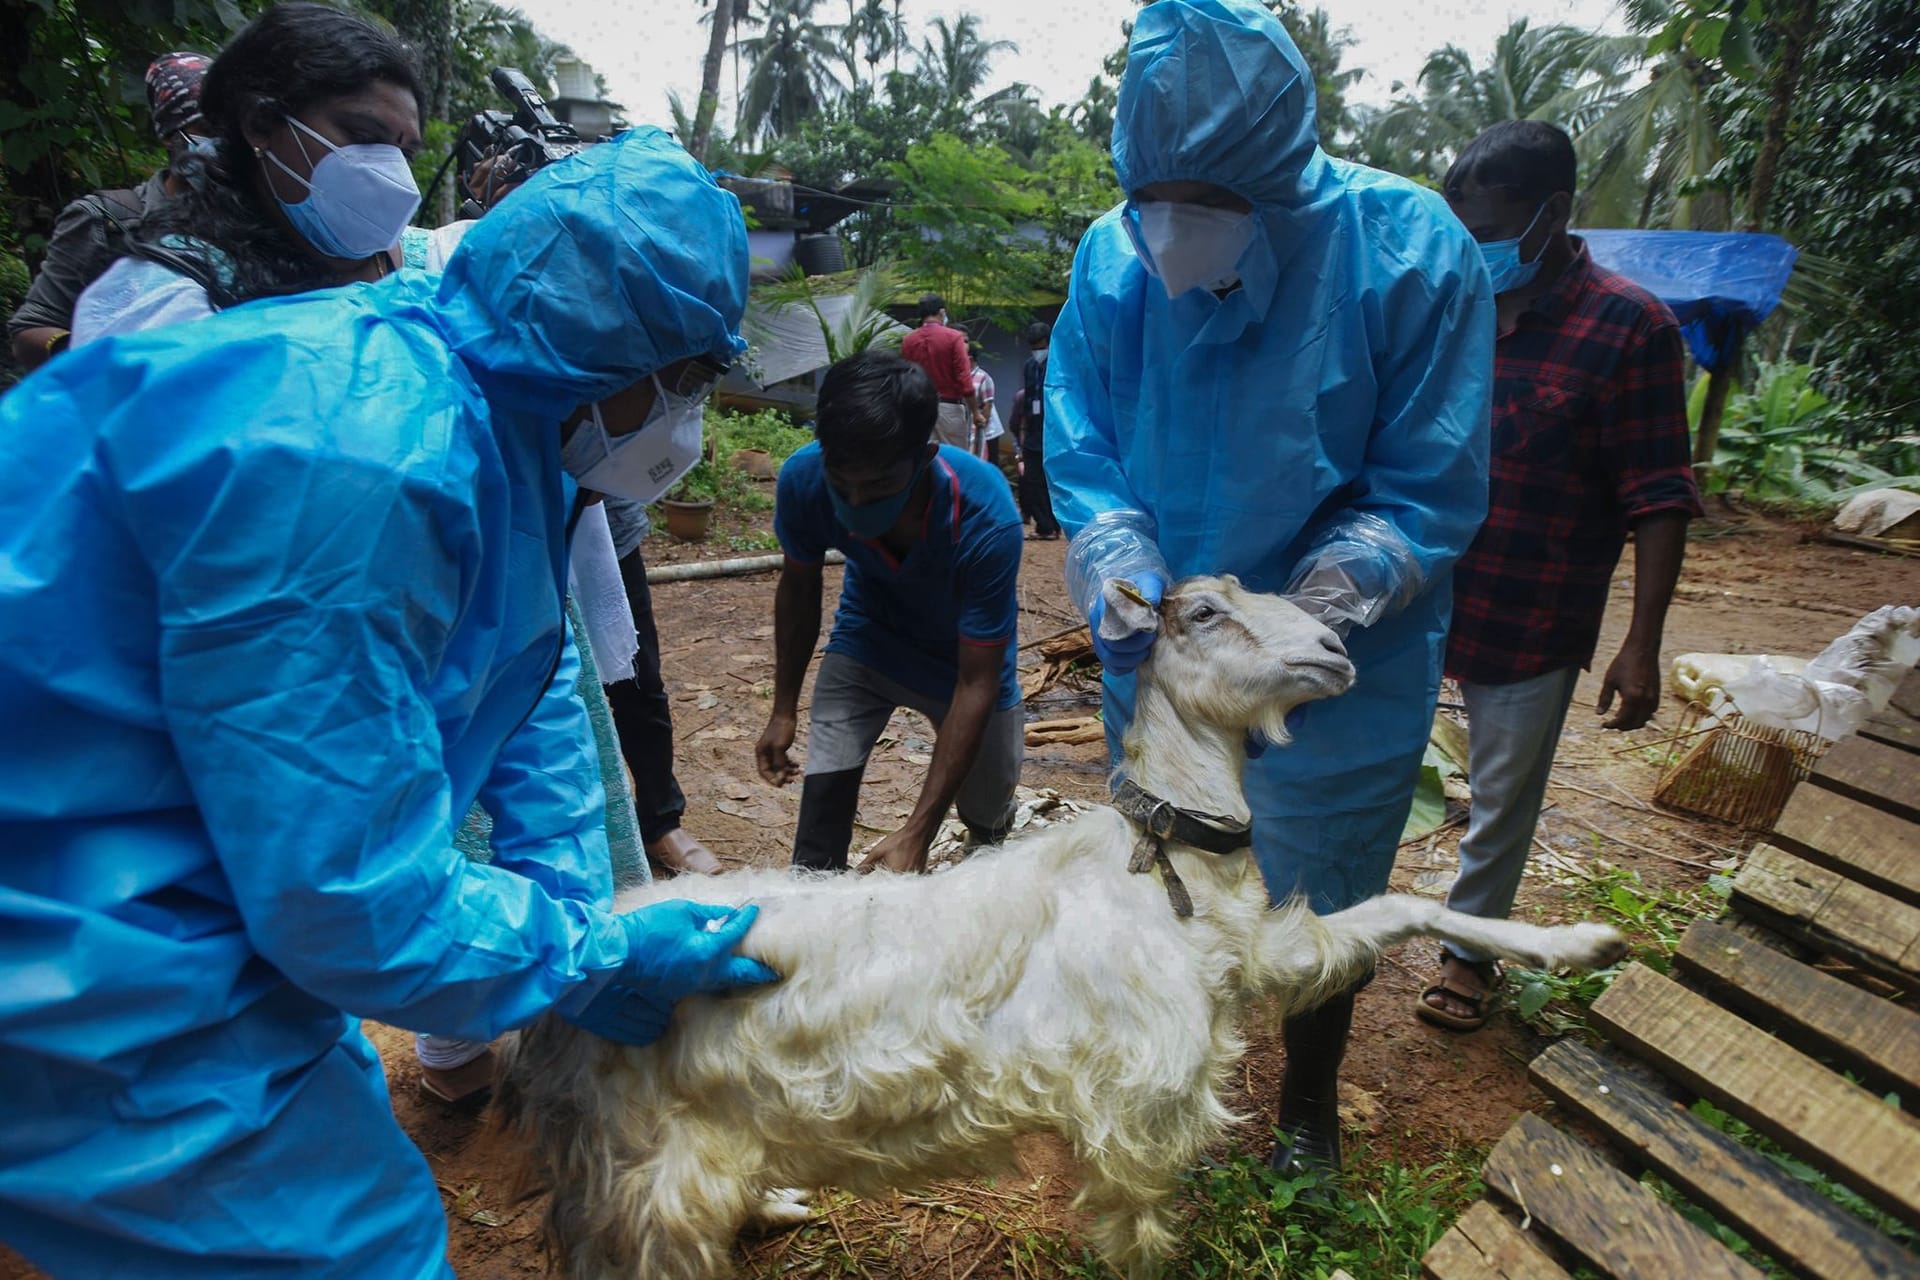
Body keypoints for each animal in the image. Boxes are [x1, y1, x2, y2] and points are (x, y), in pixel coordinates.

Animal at [491, 579, 1620, 1280]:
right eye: (1205, 611)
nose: (1338, 650)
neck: (1166, 870)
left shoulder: (1252, 959)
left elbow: (1388, 913)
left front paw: (1584, 946)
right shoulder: (1140, 1104)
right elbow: (1139, 1238)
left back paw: (777, 1203)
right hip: (640, 1157)